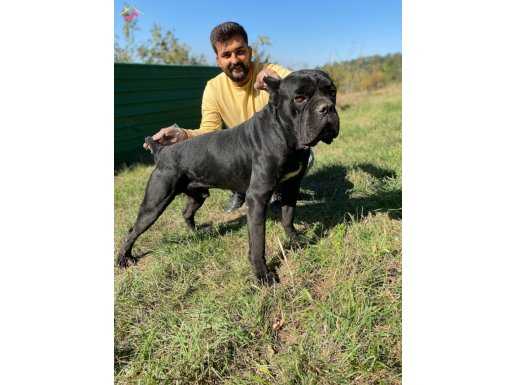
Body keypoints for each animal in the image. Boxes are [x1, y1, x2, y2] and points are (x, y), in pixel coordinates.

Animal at [118, 69, 340, 284]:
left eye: (332, 92)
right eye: (300, 98)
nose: (327, 108)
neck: (285, 135)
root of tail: (161, 151)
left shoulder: (291, 187)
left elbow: (288, 217)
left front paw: (295, 240)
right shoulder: (258, 197)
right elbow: (258, 242)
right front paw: (262, 275)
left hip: (198, 196)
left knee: (186, 212)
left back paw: (197, 233)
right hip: (154, 204)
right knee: (132, 231)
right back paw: (123, 259)